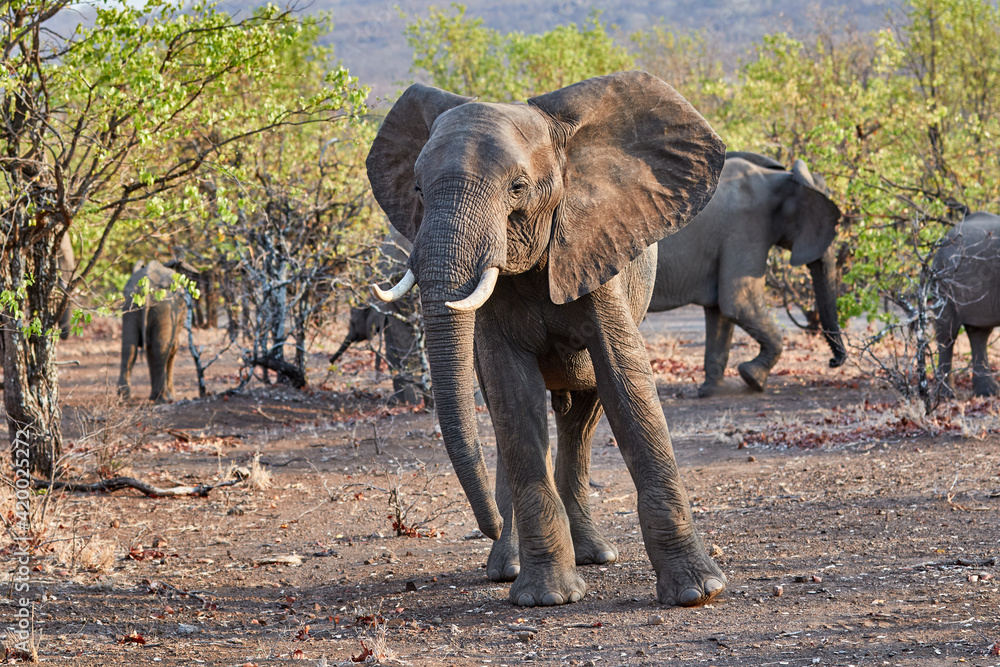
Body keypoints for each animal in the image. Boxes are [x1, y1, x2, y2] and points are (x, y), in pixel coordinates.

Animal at [117, 259, 186, 403]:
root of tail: (146, 285)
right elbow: (171, 348)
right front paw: (171, 396)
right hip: (164, 306)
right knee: (161, 348)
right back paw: (165, 398)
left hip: (130, 305)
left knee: (128, 348)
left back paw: (124, 396)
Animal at [366, 71, 727, 607]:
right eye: (417, 189)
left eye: (518, 188)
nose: (488, 526)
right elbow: (513, 397)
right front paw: (545, 598)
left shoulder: (597, 249)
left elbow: (626, 383)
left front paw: (697, 592)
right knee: (507, 418)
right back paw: (508, 566)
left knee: (583, 416)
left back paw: (594, 556)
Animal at [647, 151, 847, 396]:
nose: (833, 362)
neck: (781, 178)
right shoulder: (747, 229)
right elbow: (740, 305)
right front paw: (753, 379)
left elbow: (720, 313)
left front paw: (714, 391)